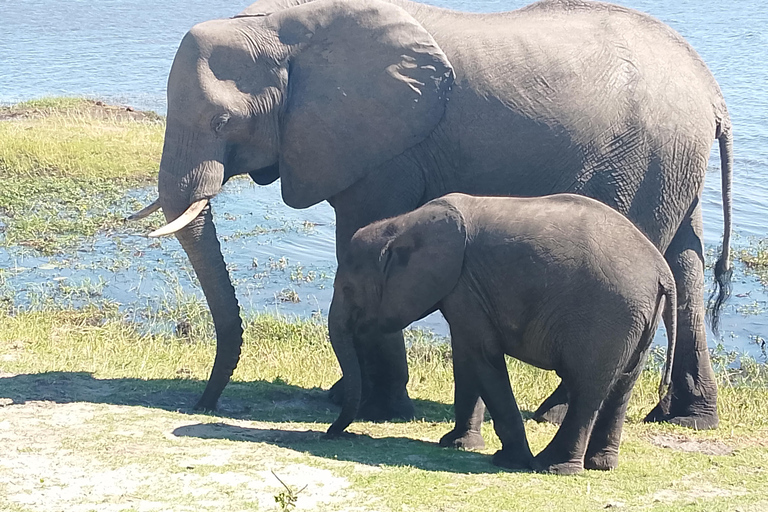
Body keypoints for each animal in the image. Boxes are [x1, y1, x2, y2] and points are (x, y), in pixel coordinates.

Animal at [128, 0, 732, 432]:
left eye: (222, 122)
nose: (201, 404)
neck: (280, 25)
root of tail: (711, 90)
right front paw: (354, 399)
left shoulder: (386, 149)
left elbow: (362, 235)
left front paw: (378, 408)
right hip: (673, 162)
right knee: (685, 262)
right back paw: (688, 419)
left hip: (645, 160)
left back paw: (554, 413)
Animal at [325, 193, 677, 475]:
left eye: (348, 289)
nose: (334, 433)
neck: (402, 224)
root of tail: (662, 272)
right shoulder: (464, 288)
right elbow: (466, 358)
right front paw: (457, 445)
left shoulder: (465, 287)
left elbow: (482, 357)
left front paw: (507, 461)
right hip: (637, 320)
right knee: (622, 386)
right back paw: (601, 465)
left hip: (608, 316)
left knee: (587, 388)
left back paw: (551, 467)